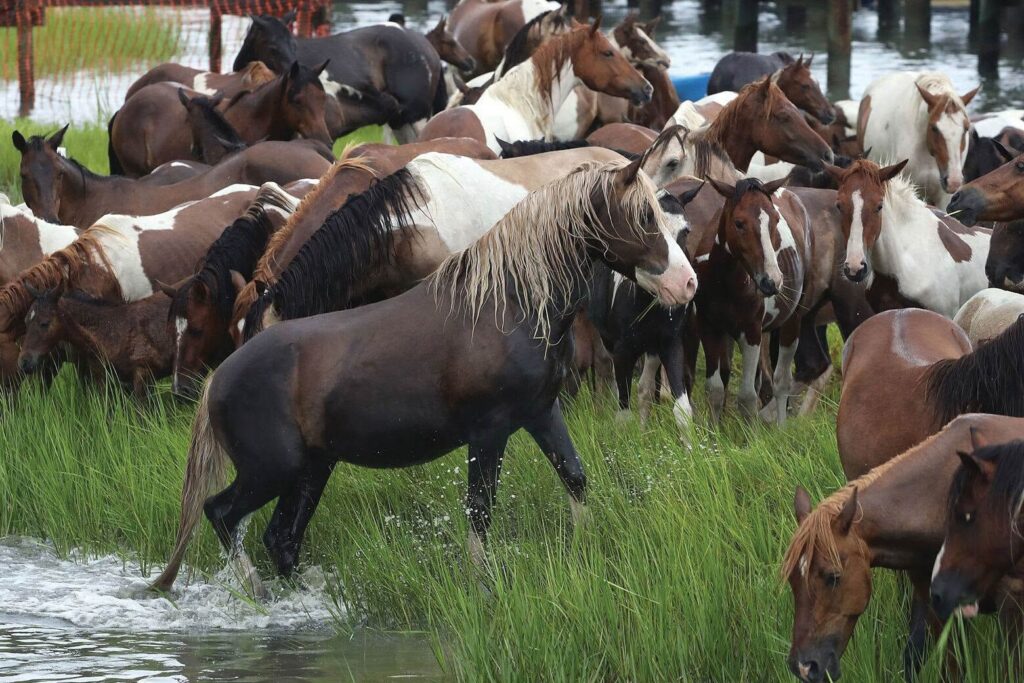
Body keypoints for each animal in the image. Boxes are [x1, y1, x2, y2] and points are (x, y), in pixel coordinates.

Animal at [149, 152, 697, 595]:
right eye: (644, 216)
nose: (687, 284)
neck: (506, 305)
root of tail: (219, 379)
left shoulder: (542, 413)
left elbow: (576, 479)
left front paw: (585, 552)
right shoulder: (490, 431)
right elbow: (480, 512)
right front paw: (482, 584)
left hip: (311, 469)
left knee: (280, 538)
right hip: (272, 470)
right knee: (221, 514)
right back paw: (257, 594)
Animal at [233, 13, 442, 140]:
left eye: (294, 44)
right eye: (273, 48)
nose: (296, 73)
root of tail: (425, 45)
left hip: (418, 118)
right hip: (401, 121)